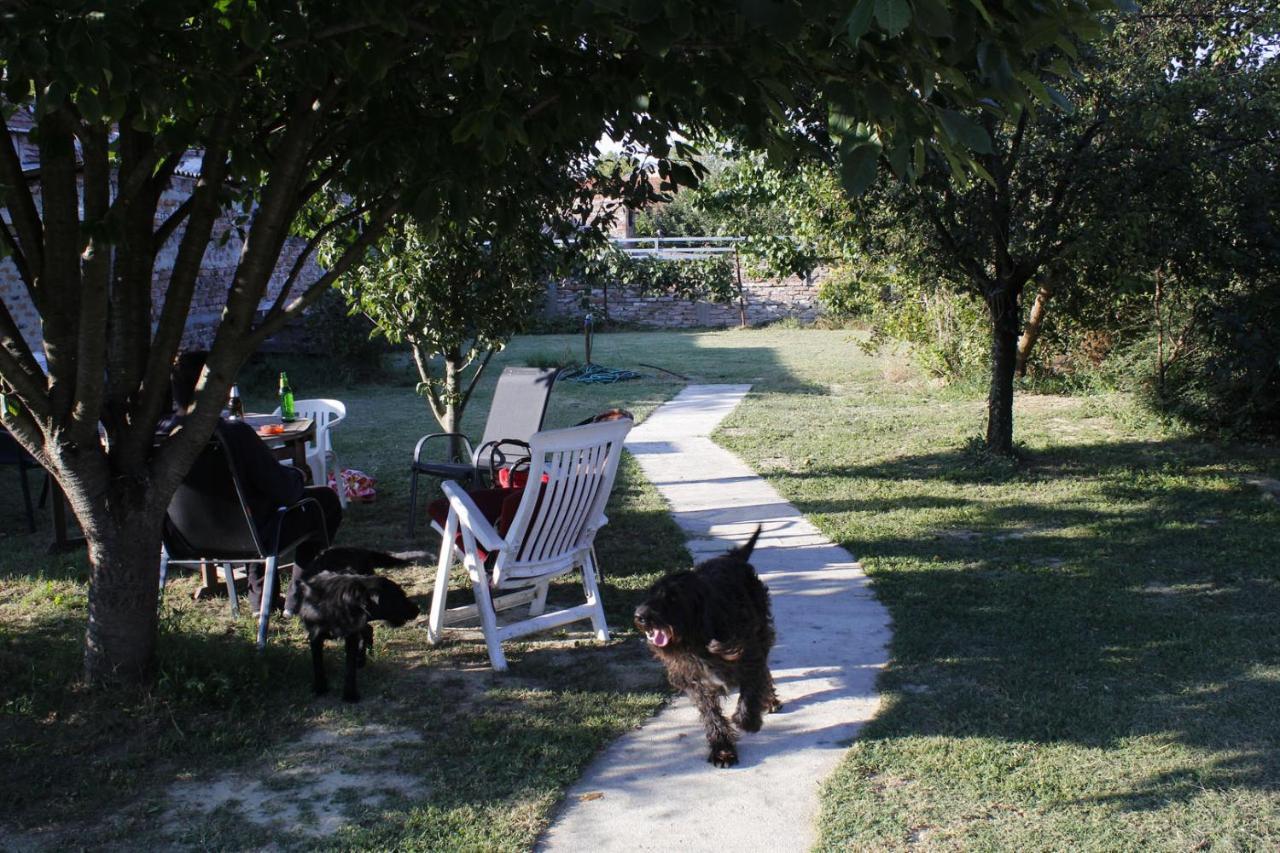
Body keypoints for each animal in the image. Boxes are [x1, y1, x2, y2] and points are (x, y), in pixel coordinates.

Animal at [632, 525, 778, 763]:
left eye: (673, 597)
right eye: (651, 593)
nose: (640, 615)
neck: (698, 640)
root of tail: (733, 558)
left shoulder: (749, 653)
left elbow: (751, 688)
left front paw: (747, 721)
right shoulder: (695, 681)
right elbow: (711, 715)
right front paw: (722, 749)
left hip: (762, 630)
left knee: (765, 671)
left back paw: (771, 700)